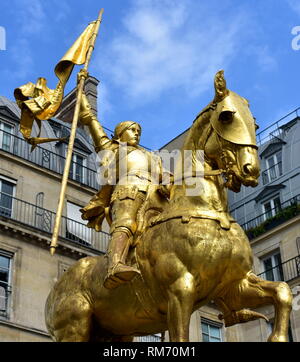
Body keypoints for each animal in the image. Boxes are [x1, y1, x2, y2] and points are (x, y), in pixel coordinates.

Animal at [45, 70, 292, 342]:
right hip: (74, 327)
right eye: (226, 116)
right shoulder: (181, 288)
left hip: (116, 330)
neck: (206, 211)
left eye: (255, 125)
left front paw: (278, 336)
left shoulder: (234, 287)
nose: (250, 170)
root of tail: (54, 290)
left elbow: (283, 290)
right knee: (124, 227)